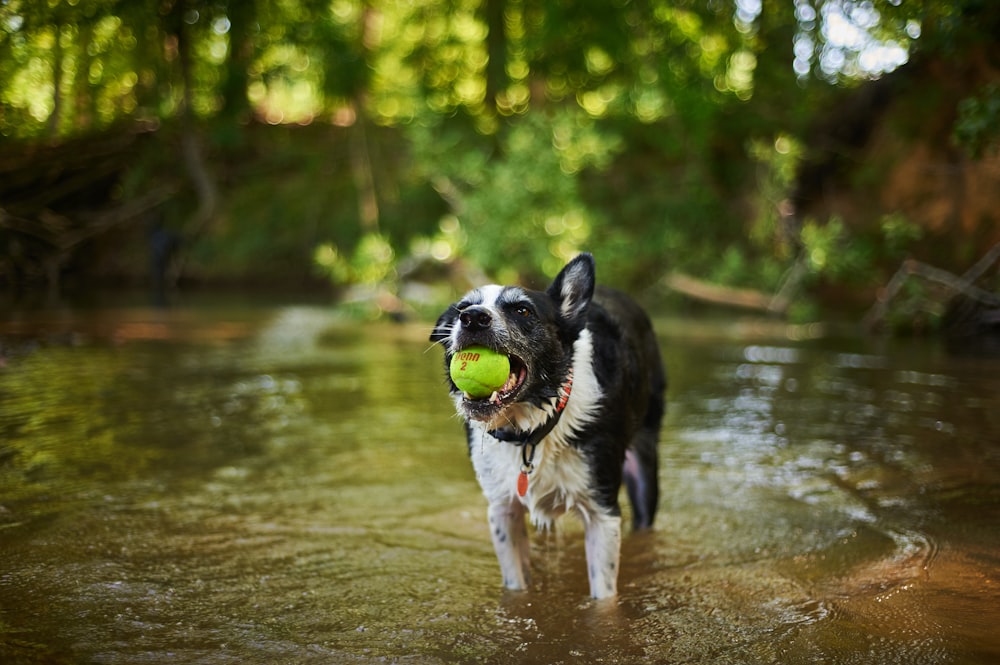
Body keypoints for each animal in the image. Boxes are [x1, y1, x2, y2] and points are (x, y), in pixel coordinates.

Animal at [428, 253, 664, 596]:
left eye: (522, 310)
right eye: (462, 308)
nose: (472, 318)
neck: (531, 431)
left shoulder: (603, 512)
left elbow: (603, 594)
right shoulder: (502, 509)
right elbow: (516, 583)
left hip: (644, 462)